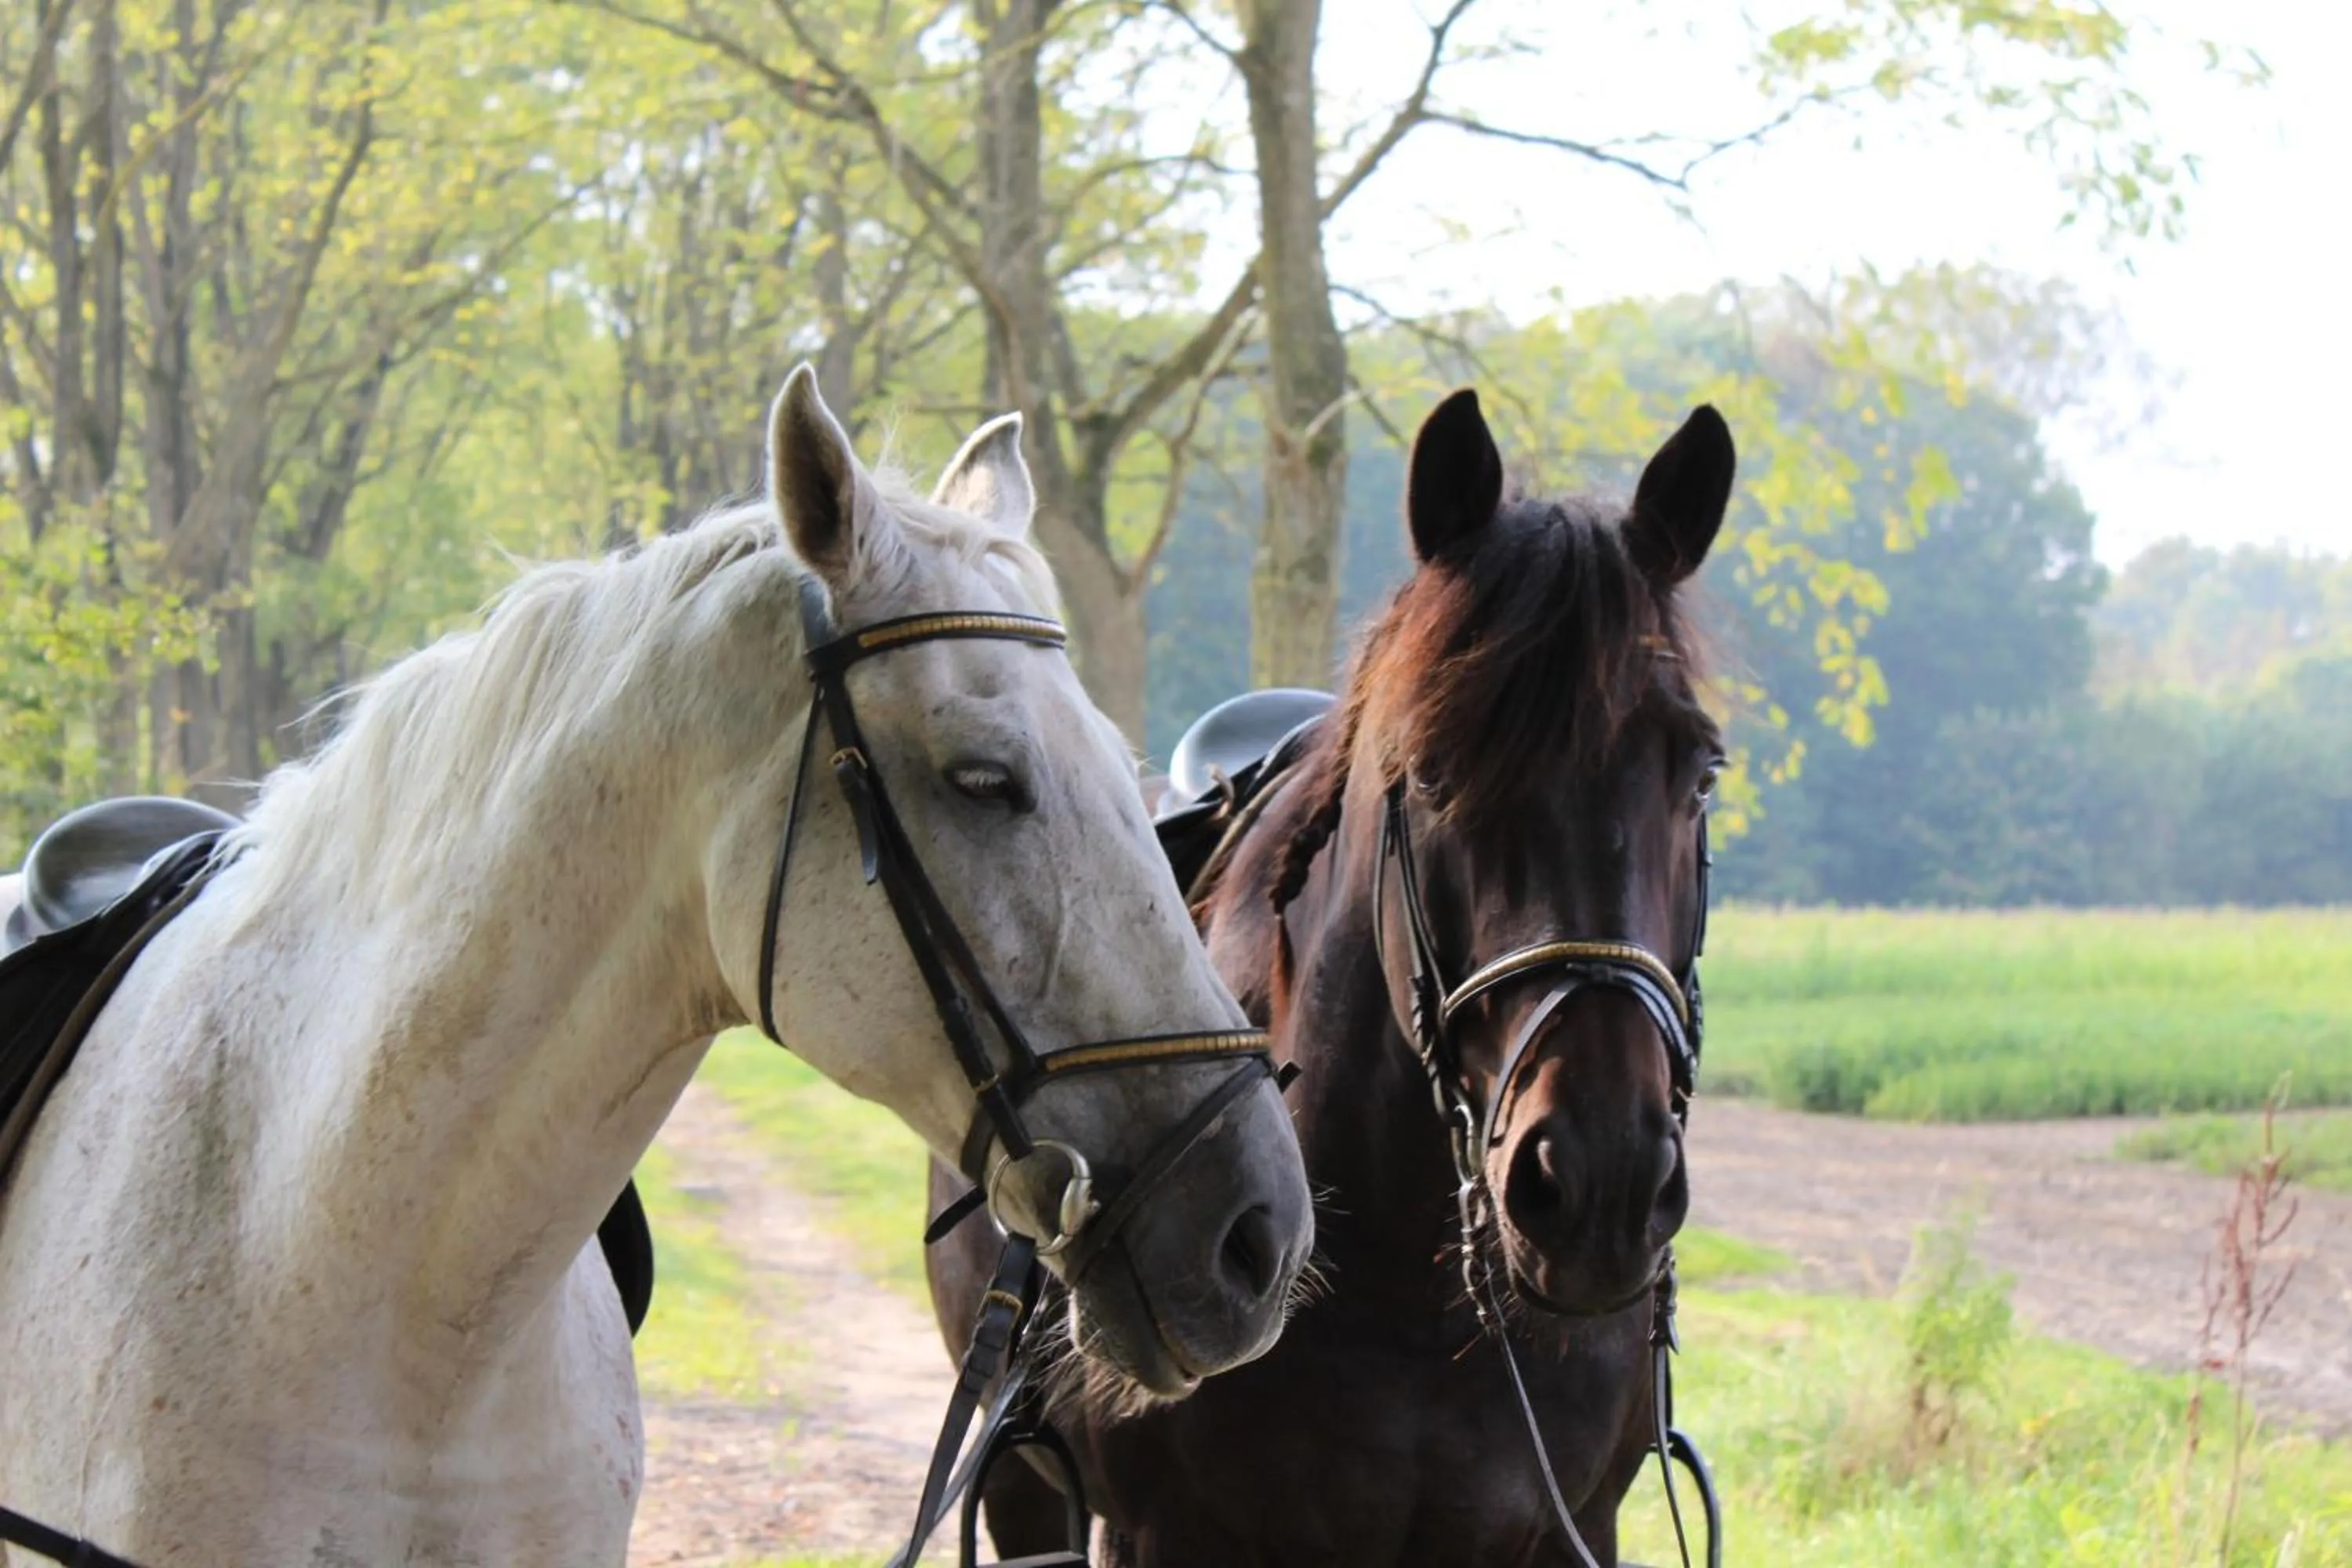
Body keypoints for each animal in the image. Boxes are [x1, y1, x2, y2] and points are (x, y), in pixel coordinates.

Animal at [930, 386, 1732, 1566]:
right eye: (1433, 771)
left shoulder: (1571, 1530)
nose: (1601, 1182)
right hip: (1021, 1492)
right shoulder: (1167, 1534)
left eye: (1700, 772)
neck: (1413, 1304)